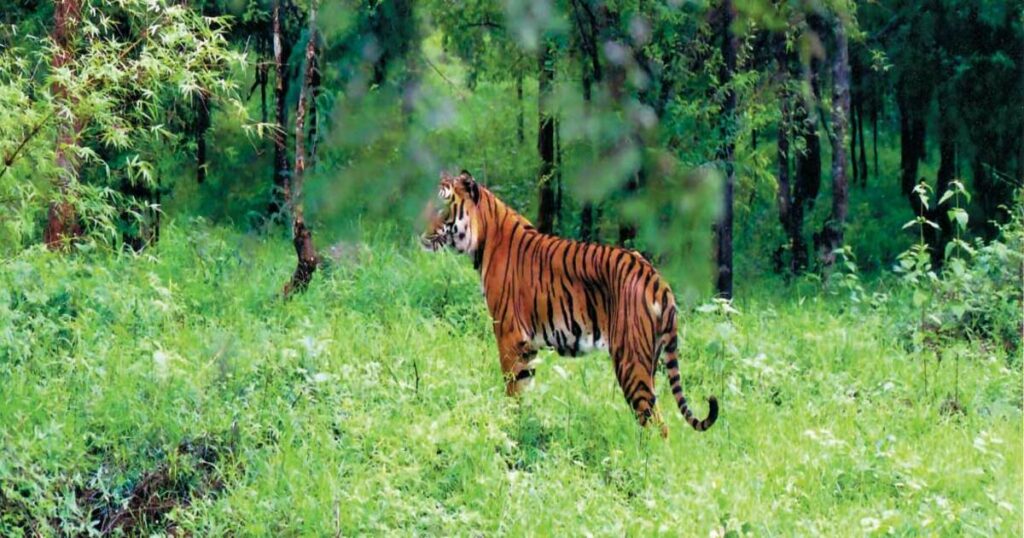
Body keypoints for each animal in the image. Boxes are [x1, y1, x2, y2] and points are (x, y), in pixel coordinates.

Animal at [420, 170, 718, 432]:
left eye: (443, 206)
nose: (419, 231)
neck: (483, 237)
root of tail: (656, 279)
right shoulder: (527, 347)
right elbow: (524, 391)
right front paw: (524, 428)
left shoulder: (508, 335)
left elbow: (512, 392)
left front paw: (509, 429)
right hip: (649, 359)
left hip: (630, 361)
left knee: (657, 424)